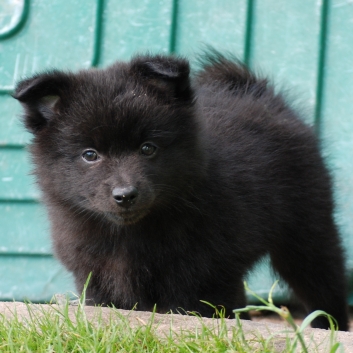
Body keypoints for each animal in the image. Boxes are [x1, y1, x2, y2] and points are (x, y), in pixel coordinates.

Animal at [13, 52, 346, 330]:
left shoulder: (207, 277)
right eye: (90, 155)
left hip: (307, 234)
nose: (125, 195)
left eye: (148, 148)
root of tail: (260, 94)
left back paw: (330, 328)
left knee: (324, 286)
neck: (132, 235)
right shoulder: (96, 278)